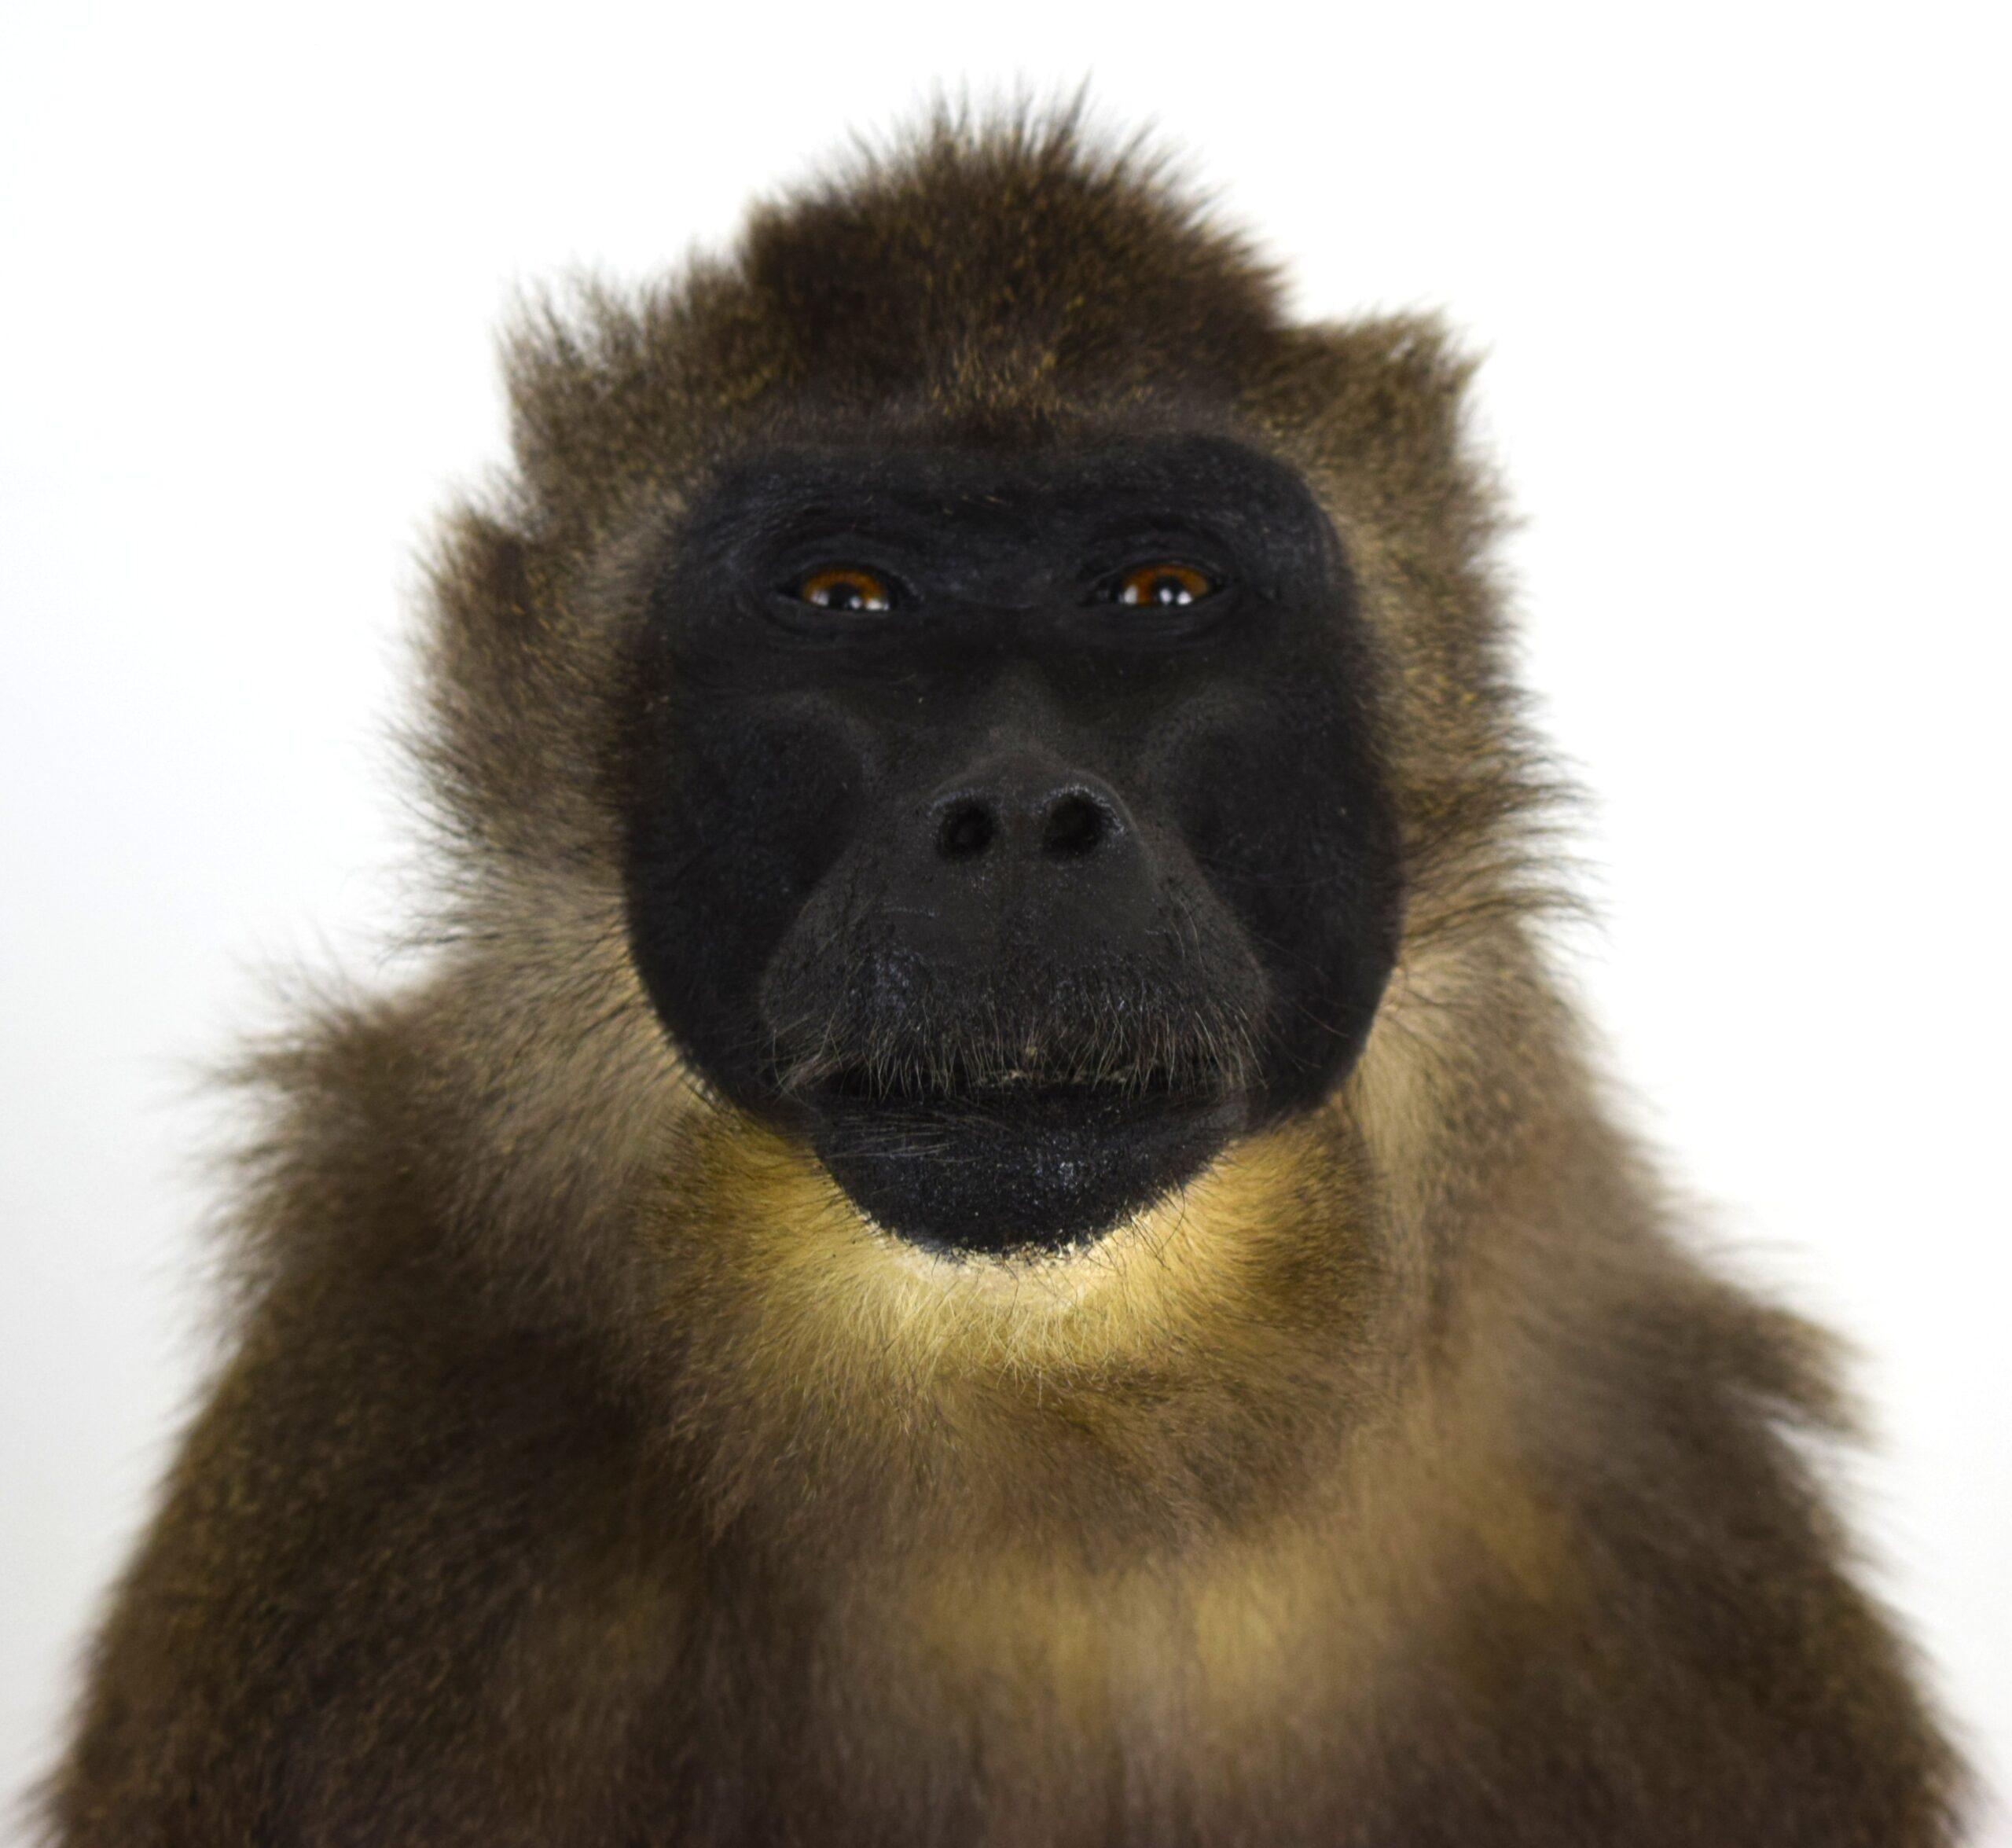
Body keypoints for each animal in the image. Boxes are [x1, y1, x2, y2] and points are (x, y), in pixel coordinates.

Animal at [36, 110, 1967, 1847]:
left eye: (1159, 588)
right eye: (847, 597)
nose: (1026, 813)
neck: (1049, 1447)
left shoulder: (1647, 1519)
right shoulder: (373, 1454)